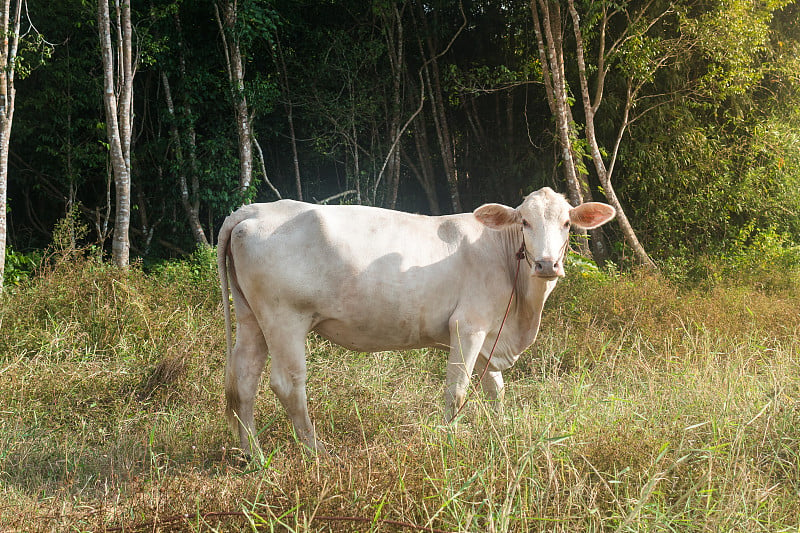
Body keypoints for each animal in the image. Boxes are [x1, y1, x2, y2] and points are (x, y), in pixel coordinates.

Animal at [216, 186, 616, 454]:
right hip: (285, 318)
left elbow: (496, 389)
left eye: (567, 223)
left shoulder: (491, 332)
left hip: (252, 318)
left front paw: (503, 431)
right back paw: (318, 453)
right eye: (525, 222)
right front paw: (449, 440)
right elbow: (457, 390)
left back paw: (253, 455)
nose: (547, 264)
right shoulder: (468, 326)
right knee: (287, 384)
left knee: (243, 380)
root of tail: (253, 210)